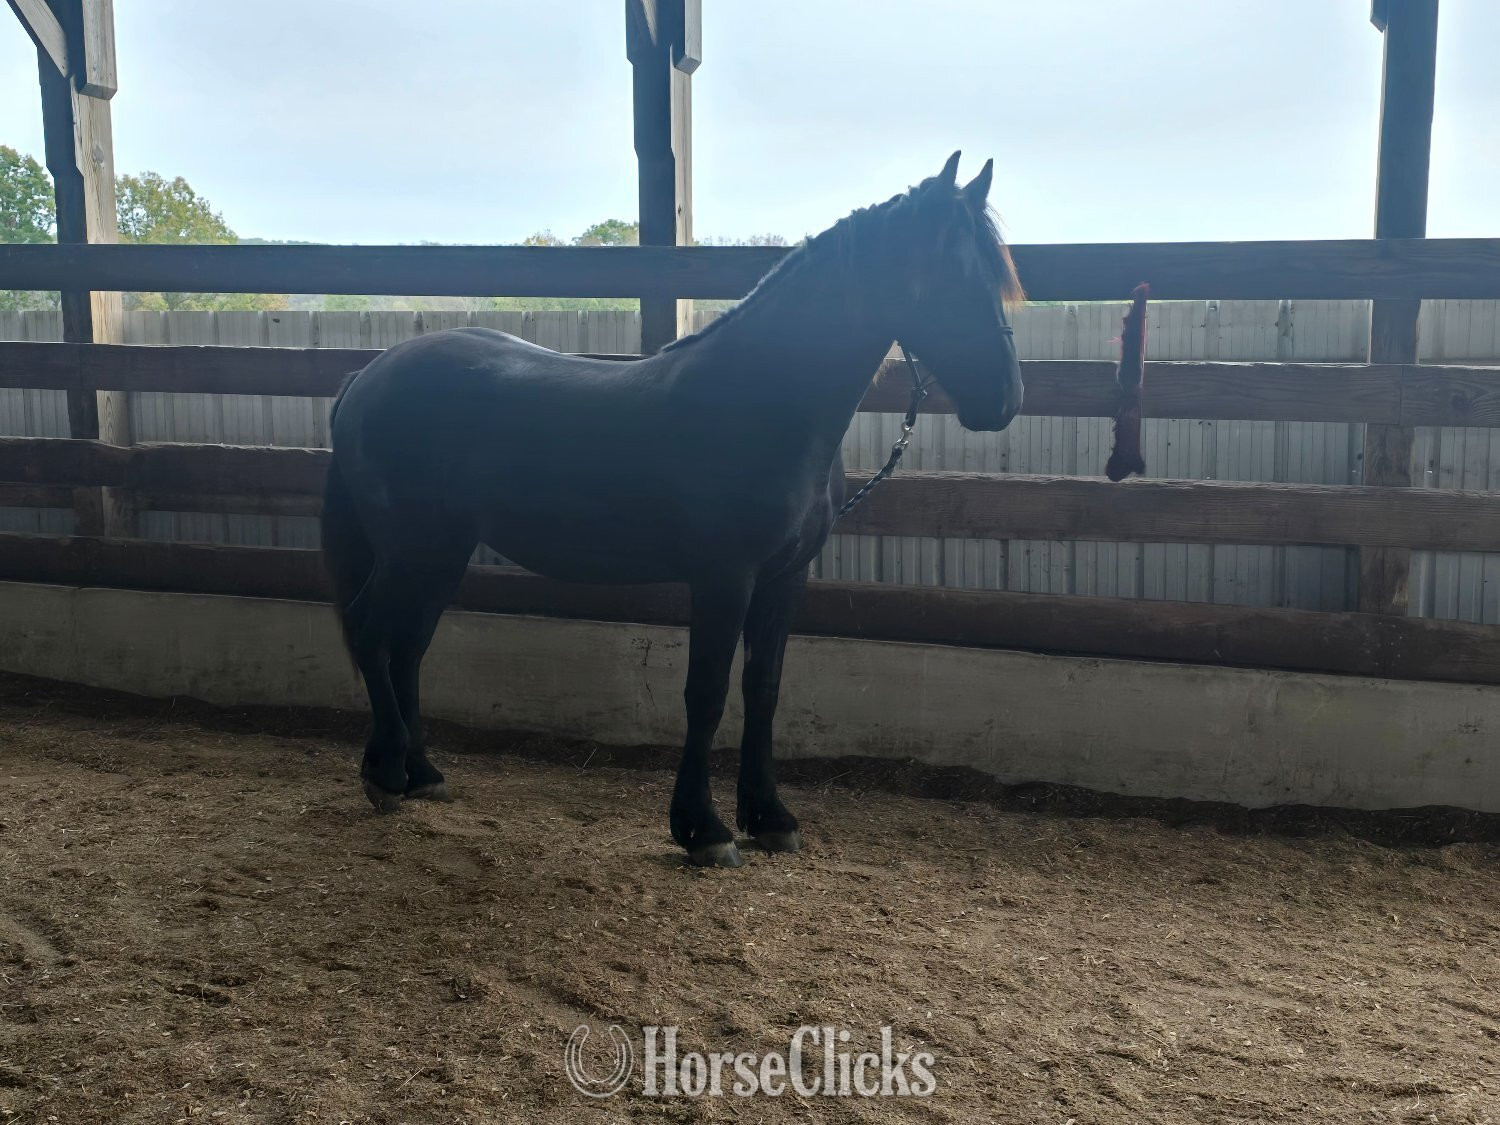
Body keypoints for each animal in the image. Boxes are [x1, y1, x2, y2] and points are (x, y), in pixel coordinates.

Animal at [321, 151, 1025, 867]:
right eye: (946, 273)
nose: (1004, 398)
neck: (763, 402)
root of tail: (365, 378)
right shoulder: (724, 578)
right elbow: (706, 694)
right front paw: (702, 829)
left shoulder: (785, 576)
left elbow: (764, 689)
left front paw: (769, 817)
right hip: (412, 550)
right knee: (373, 631)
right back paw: (386, 774)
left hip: (441, 553)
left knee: (407, 645)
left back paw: (421, 774)